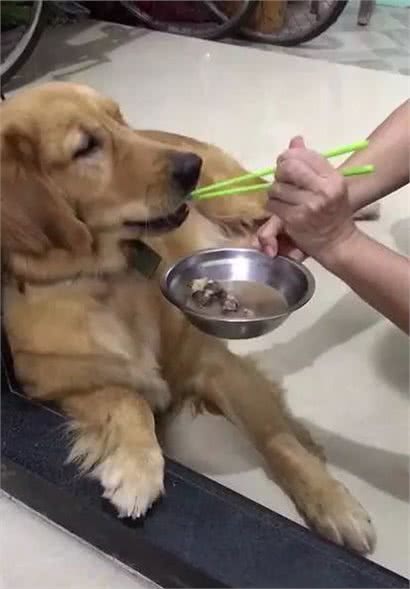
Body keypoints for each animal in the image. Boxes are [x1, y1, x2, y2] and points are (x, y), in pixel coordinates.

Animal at [1, 82, 375, 554]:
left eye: (117, 119)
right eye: (85, 147)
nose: (189, 167)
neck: (109, 280)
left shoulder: (214, 362)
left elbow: (280, 441)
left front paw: (332, 502)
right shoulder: (50, 383)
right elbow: (126, 398)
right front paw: (137, 465)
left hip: (239, 198)